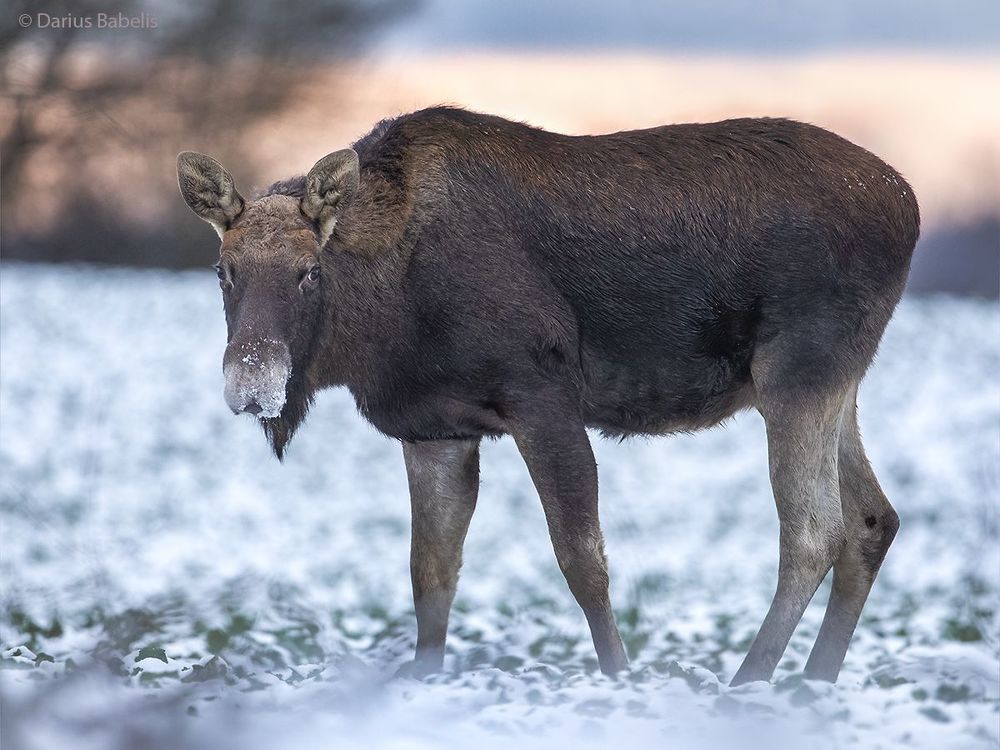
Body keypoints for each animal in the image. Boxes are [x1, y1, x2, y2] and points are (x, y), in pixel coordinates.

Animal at [177, 106, 918, 685]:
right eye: (222, 271)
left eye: (309, 272)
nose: (252, 385)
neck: (383, 317)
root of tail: (909, 204)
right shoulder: (435, 428)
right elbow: (430, 573)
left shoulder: (542, 396)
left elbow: (582, 561)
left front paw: (619, 677)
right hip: (833, 383)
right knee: (872, 519)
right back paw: (815, 683)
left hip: (800, 369)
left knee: (814, 531)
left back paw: (748, 683)